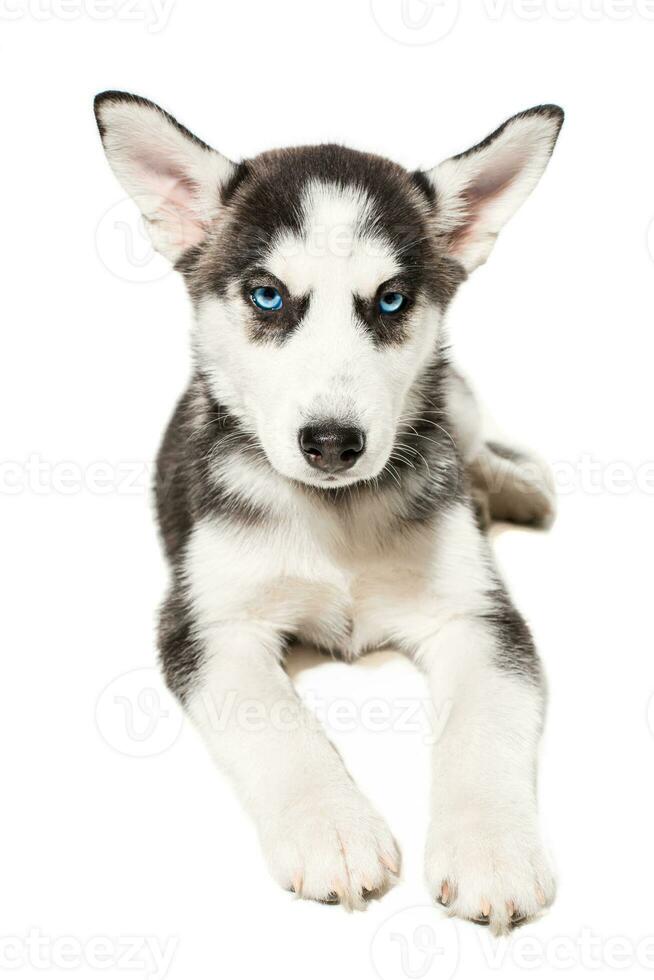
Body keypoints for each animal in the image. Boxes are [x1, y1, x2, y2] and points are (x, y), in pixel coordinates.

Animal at [95, 94, 568, 936]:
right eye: (267, 295)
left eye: (391, 300)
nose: (333, 443)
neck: (337, 512)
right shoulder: (208, 624)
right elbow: (273, 719)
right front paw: (332, 831)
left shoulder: (480, 616)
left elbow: (483, 722)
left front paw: (491, 850)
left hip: (454, 402)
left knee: (474, 437)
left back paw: (508, 486)